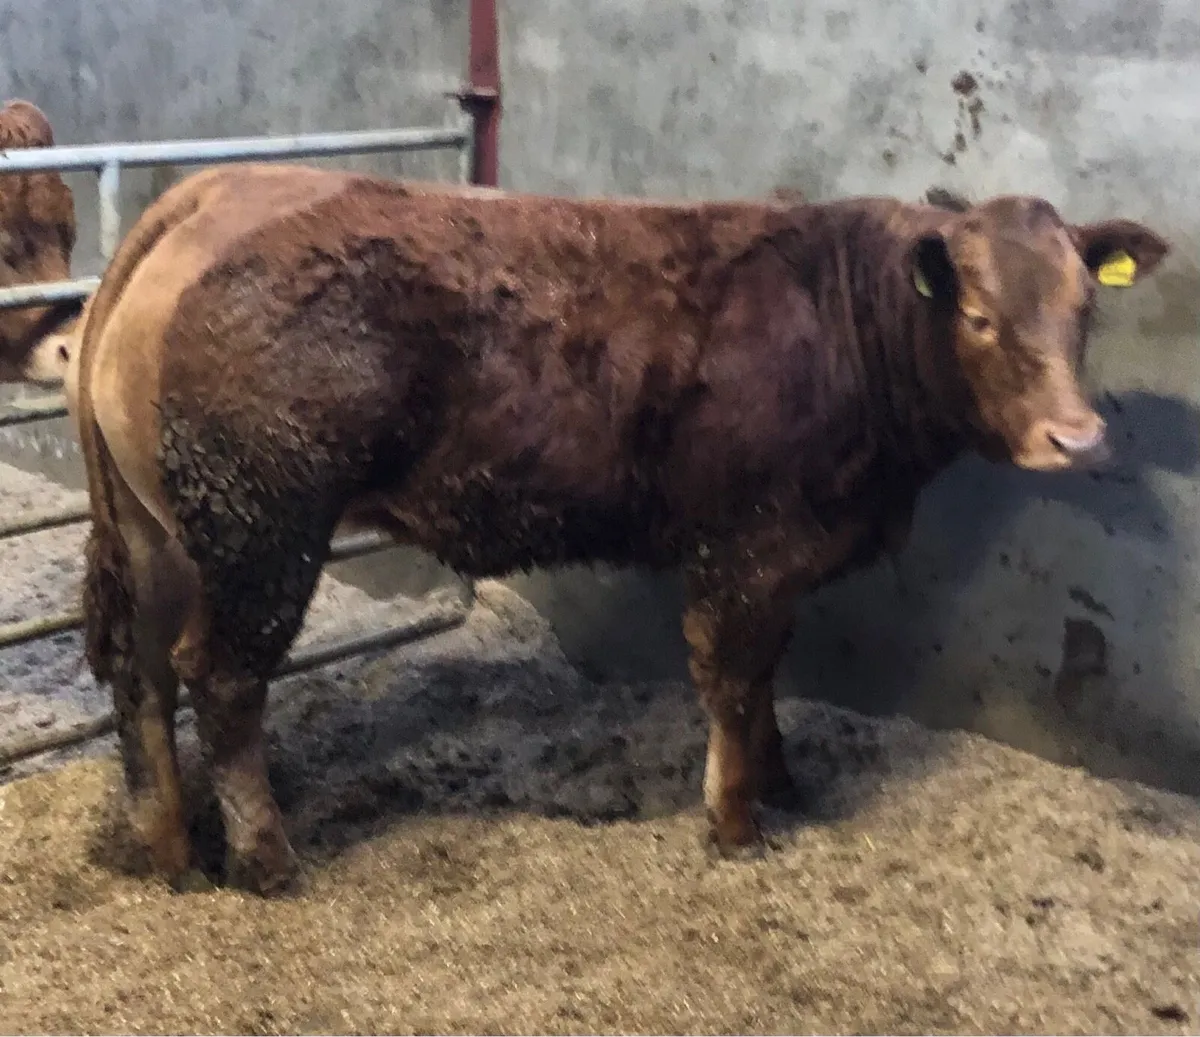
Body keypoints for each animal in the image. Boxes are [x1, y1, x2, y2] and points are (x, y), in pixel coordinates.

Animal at [71, 163, 1169, 895]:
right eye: (978, 316)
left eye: (1084, 306)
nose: (1075, 437)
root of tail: (216, 191)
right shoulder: (749, 543)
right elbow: (732, 676)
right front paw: (734, 821)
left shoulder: (779, 558)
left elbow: (767, 675)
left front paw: (782, 779)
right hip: (263, 524)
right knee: (221, 674)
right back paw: (265, 858)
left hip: (166, 531)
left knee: (141, 667)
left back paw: (170, 845)